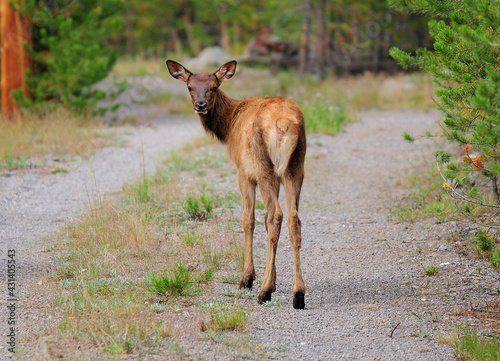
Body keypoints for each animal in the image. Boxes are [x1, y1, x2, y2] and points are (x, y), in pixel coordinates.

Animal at [165, 60, 304, 308]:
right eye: (190, 87)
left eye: (214, 87)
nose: (200, 105)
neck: (229, 125)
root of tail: (284, 123)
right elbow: (264, 220)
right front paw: (274, 278)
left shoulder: (244, 172)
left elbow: (248, 220)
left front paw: (248, 278)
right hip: (295, 166)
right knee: (294, 219)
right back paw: (298, 294)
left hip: (263, 166)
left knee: (276, 216)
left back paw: (264, 291)